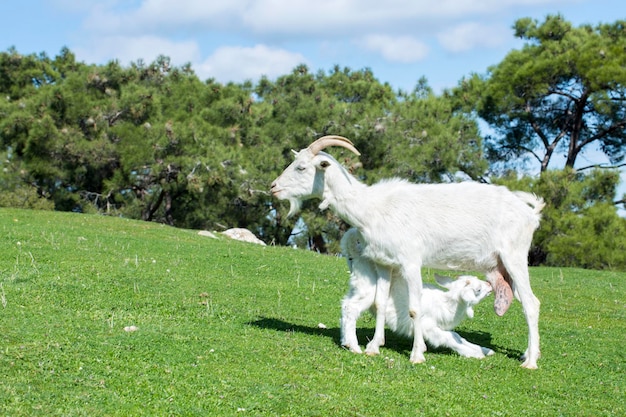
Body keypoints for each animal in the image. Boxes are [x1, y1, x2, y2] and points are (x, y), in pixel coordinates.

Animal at [342, 228, 492, 358]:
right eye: (478, 290)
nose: (490, 285)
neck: (447, 304)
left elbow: (457, 336)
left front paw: (485, 350)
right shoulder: (428, 326)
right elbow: (449, 337)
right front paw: (475, 354)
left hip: (357, 287)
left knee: (346, 304)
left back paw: (345, 341)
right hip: (368, 287)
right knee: (352, 308)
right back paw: (354, 346)